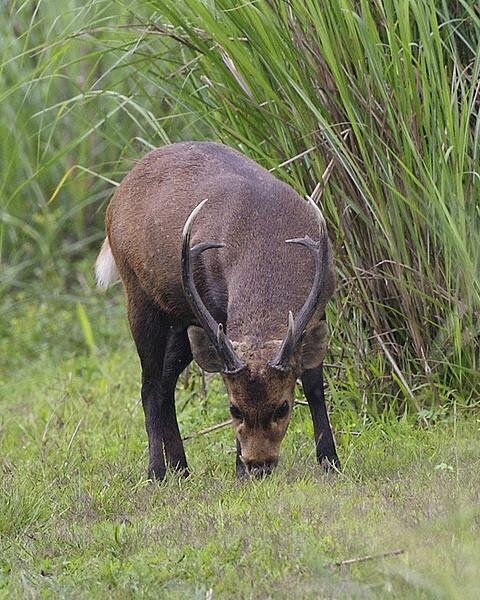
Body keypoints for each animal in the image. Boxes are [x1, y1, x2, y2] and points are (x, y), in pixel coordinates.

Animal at [95, 139, 340, 478]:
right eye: (233, 409)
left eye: (283, 407)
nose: (258, 464)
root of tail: (117, 194)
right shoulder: (215, 308)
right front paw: (238, 471)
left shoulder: (321, 303)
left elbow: (315, 384)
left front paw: (330, 461)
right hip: (138, 293)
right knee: (149, 384)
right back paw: (156, 471)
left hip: (184, 317)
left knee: (166, 381)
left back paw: (181, 467)